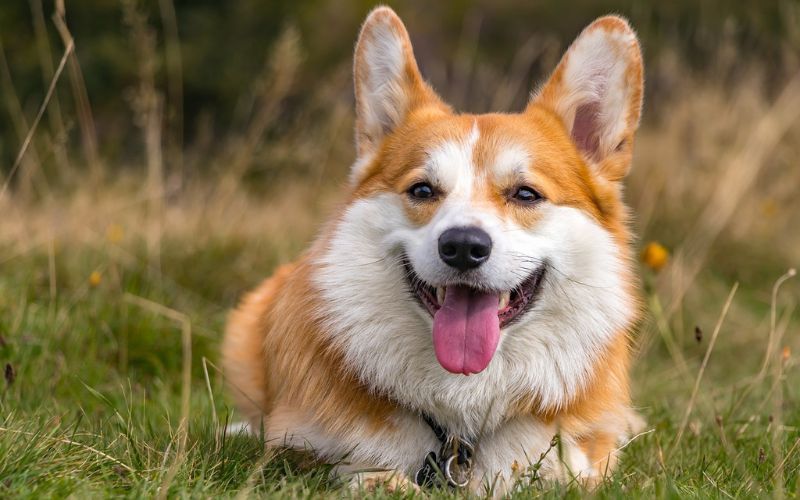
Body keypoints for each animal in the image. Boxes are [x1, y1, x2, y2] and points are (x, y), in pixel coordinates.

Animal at [223, 5, 644, 494]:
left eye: (526, 194)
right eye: (422, 190)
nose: (462, 246)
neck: (460, 422)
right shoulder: (298, 449)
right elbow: (368, 472)